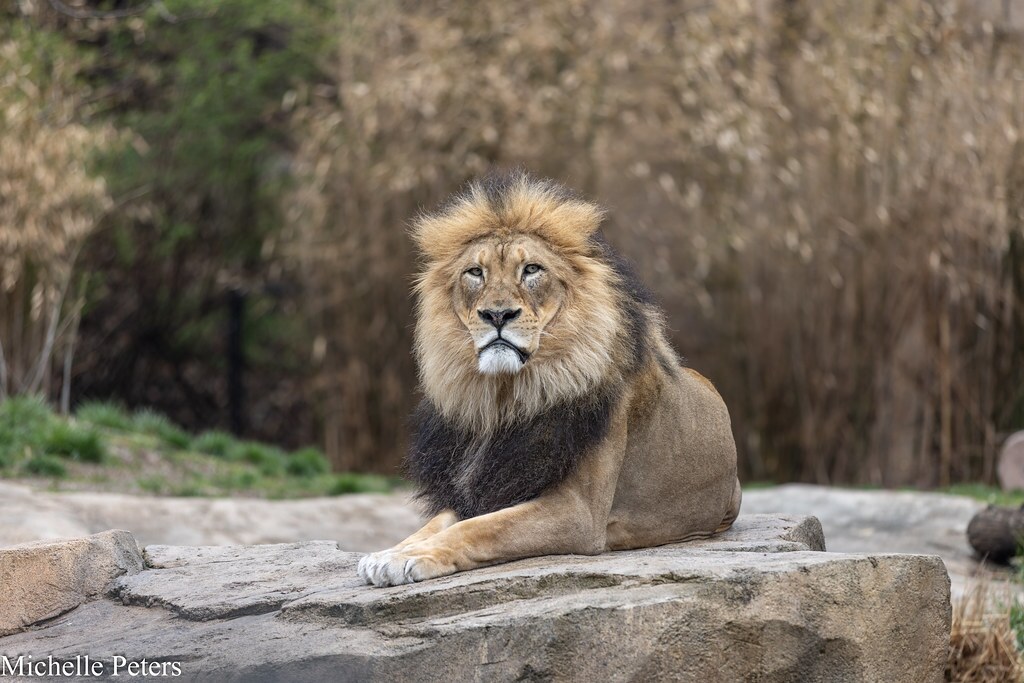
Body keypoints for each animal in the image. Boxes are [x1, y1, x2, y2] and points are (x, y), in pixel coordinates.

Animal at [357, 171, 741, 587]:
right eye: (475, 272)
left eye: (531, 270)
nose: (497, 315)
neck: (508, 395)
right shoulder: (491, 485)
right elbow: (438, 522)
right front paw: (391, 551)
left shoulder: (578, 512)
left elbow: (479, 528)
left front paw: (413, 558)